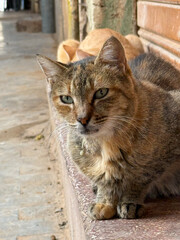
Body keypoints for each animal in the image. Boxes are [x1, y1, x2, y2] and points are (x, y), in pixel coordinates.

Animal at [37, 36, 180, 218]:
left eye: (101, 92)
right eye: (66, 99)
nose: (82, 119)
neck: (105, 143)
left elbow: (139, 177)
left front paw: (130, 201)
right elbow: (104, 182)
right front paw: (104, 202)